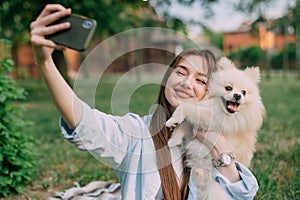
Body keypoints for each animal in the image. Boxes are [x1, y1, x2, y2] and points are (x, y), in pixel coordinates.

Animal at [166, 56, 264, 200]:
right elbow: (184, 124)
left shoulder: (213, 120)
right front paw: (174, 139)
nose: (238, 95)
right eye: (228, 88)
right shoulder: (195, 126)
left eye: (244, 92)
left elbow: (187, 107)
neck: (221, 110)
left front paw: (173, 120)